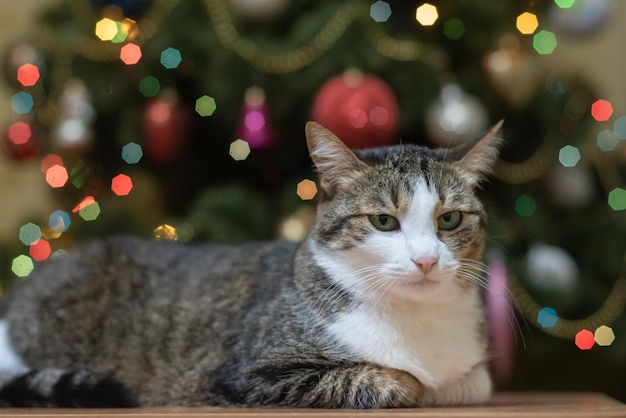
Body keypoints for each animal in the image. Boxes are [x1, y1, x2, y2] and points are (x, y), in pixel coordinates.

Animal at [0, 121, 500, 408]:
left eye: (450, 219)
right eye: (383, 221)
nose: (425, 259)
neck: (417, 320)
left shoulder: (474, 373)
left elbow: (477, 381)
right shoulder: (248, 374)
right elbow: (398, 381)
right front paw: (416, 383)